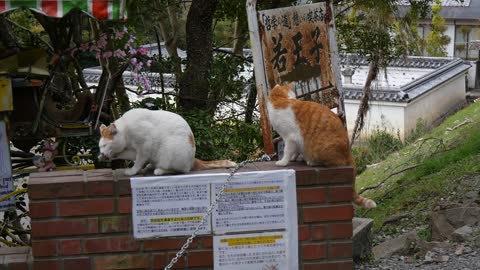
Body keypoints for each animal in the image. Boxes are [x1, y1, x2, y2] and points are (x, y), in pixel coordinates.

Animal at [99, 108, 236, 176]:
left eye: (105, 145)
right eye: (100, 146)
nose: (102, 153)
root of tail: (192, 159)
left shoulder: (145, 146)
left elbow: (138, 161)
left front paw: (133, 171)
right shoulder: (134, 150)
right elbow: (128, 155)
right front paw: (107, 157)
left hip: (169, 150)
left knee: (180, 170)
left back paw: (159, 170)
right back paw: (150, 166)